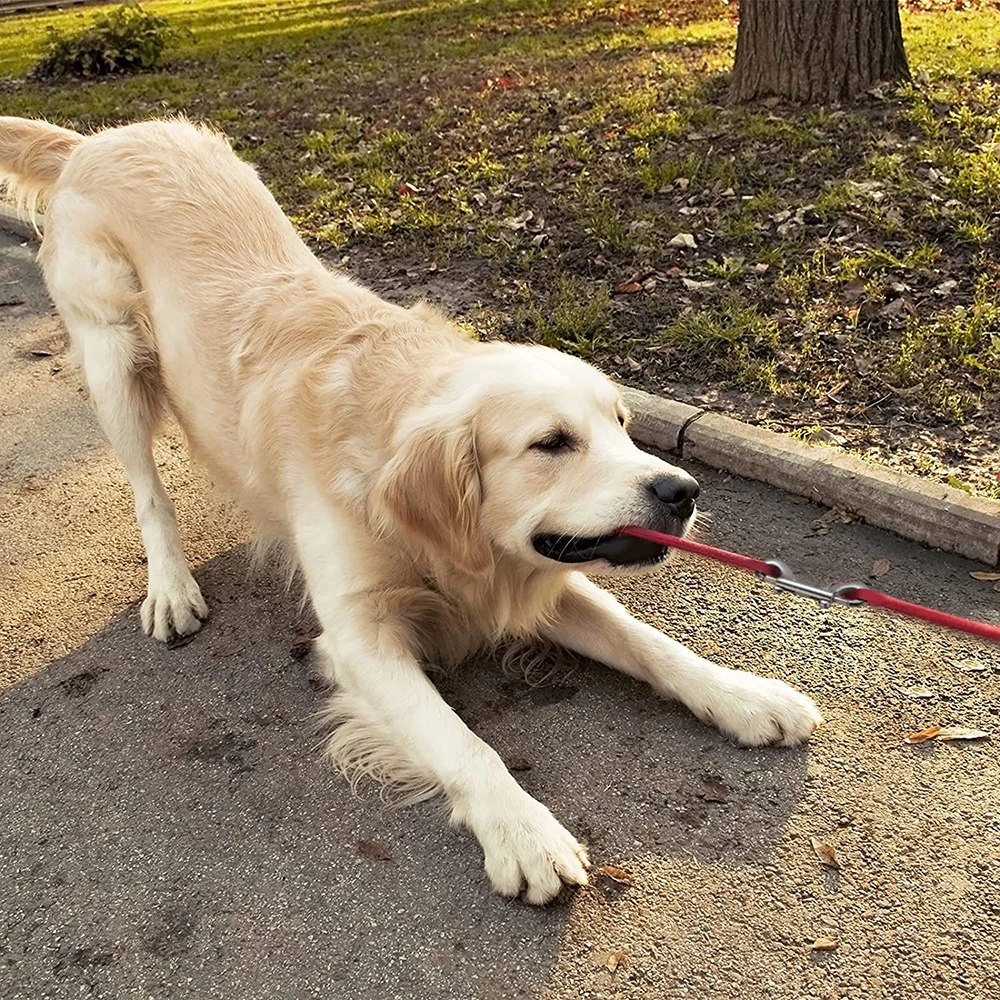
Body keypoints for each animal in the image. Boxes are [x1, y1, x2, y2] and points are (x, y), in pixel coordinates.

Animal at [0, 119, 820, 908]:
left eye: (621, 424)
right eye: (552, 442)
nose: (683, 491)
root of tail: (98, 139)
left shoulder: (526, 575)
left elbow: (649, 642)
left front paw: (744, 695)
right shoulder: (360, 635)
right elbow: (461, 741)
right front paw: (524, 832)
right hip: (114, 356)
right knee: (148, 491)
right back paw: (170, 588)